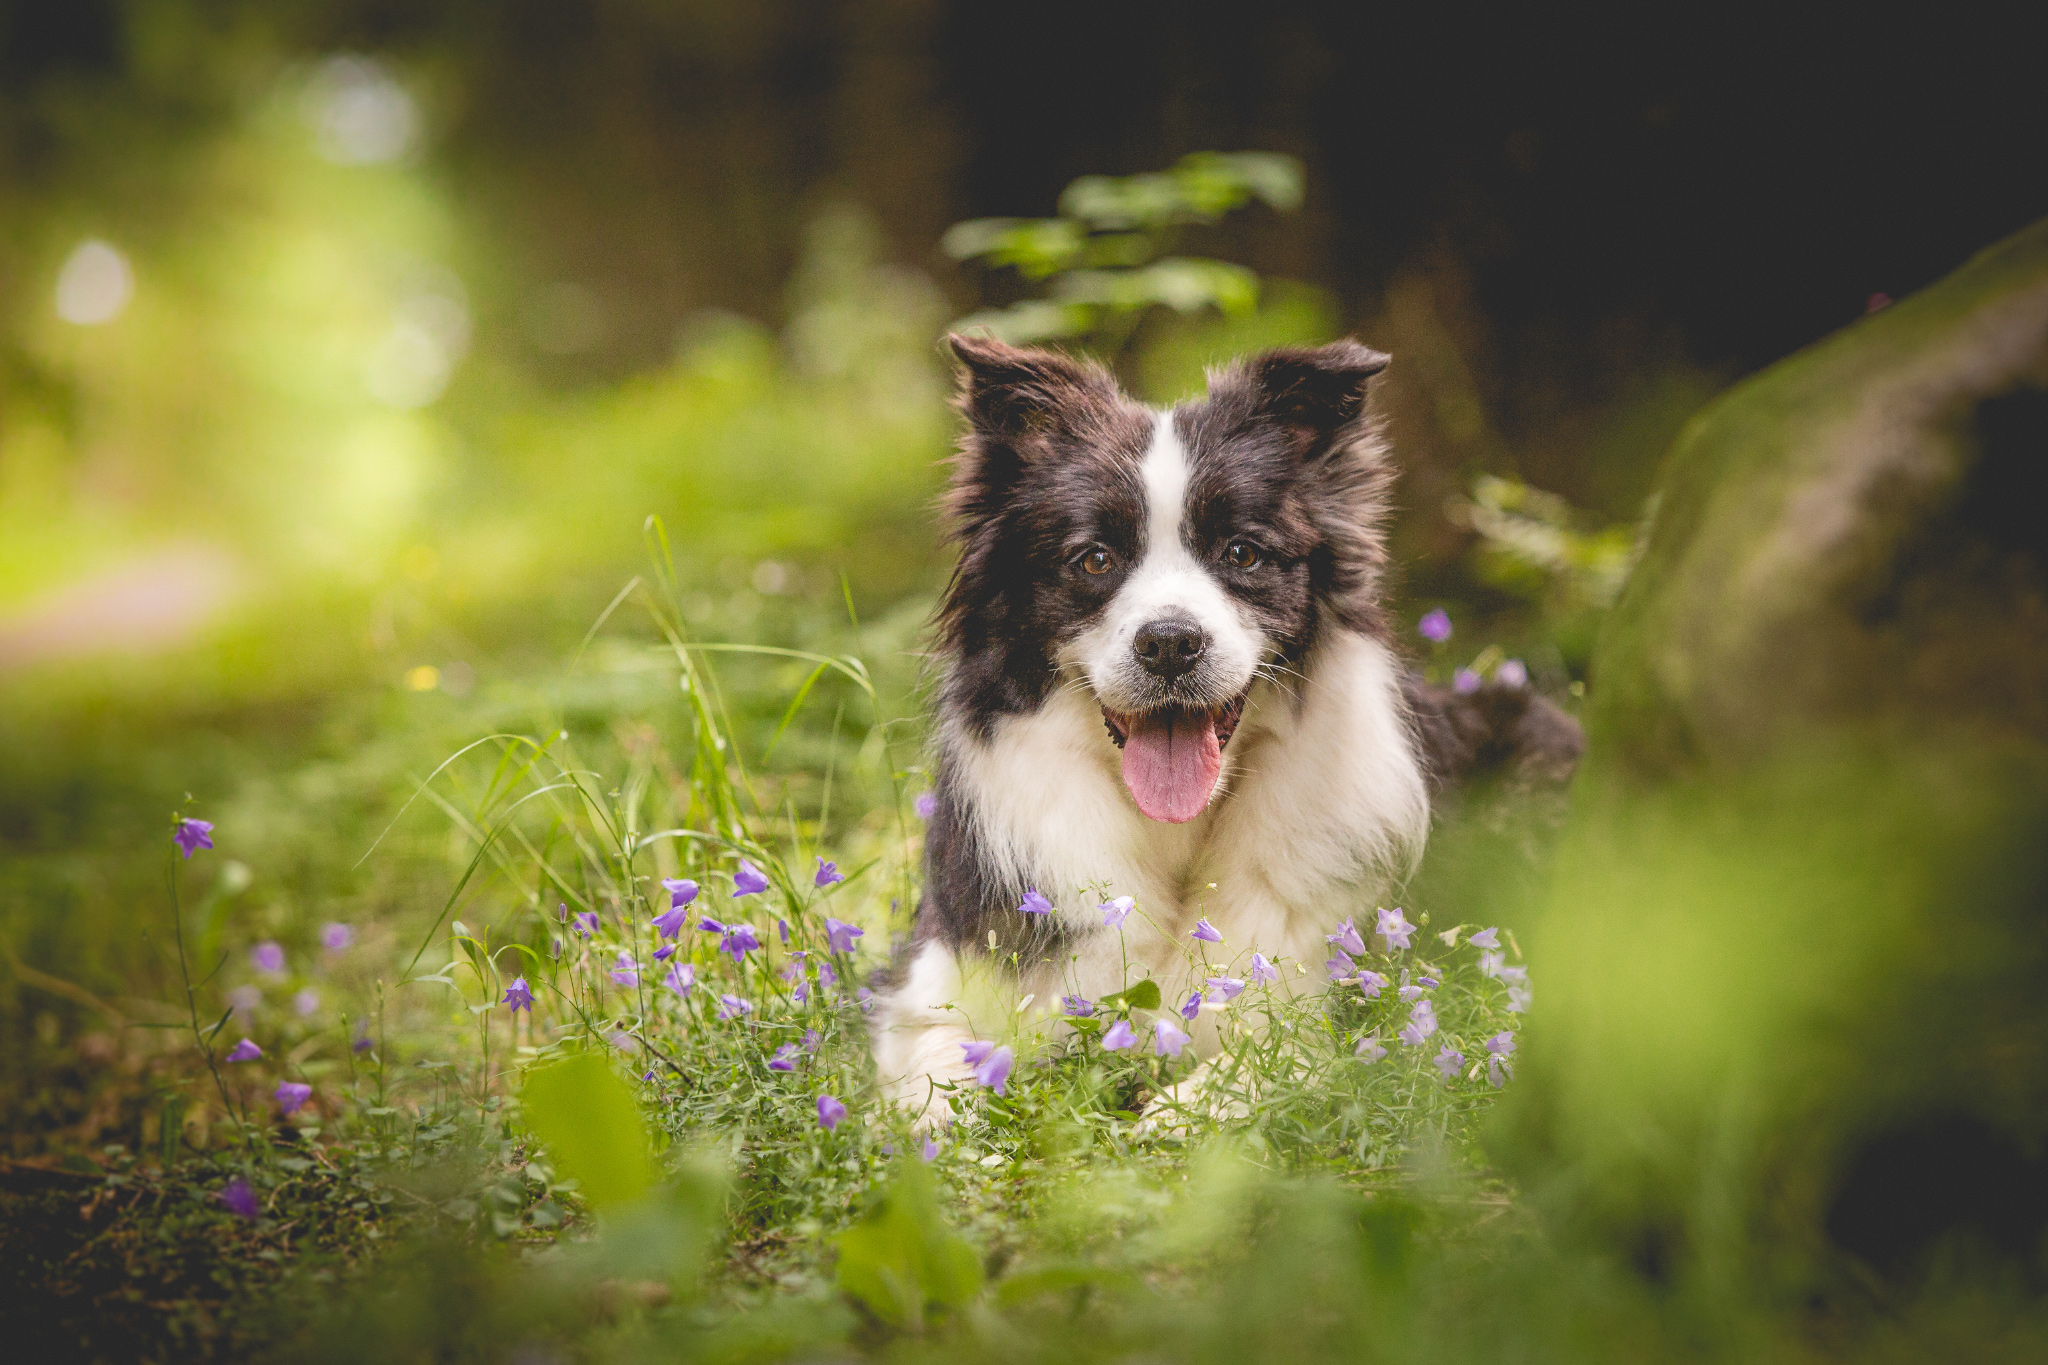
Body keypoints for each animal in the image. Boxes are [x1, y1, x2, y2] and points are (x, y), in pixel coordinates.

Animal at [868, 335, 1581, 1129]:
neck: (1177, 833)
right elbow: (937, 1073)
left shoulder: (1340, 1013)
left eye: (1242, 553)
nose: (1170, 643)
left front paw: (1165, 1119)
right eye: (1094, 558)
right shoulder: (931, 987)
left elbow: (1256, 1073)